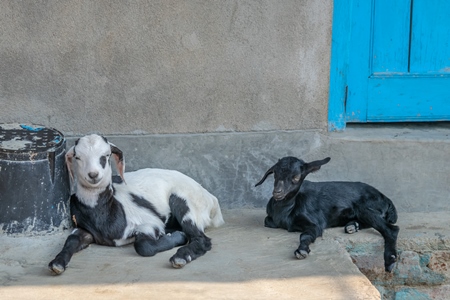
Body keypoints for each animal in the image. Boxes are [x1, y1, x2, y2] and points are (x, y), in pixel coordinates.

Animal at [48, 135, 224, 276]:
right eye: (77, 157)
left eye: (106, 155)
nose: (93, 175)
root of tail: (212, 200)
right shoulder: (83, 229)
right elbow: (71, 241)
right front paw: (57, 263)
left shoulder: (150, 223)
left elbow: (143, 246)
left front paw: (178, 237)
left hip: (185, 203)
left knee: (201, 239)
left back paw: (180, 257)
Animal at [255, 157, 400, 272]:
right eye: (275, 173)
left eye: (296, 177)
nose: (277, 192)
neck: (284, 211)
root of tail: (386, 199)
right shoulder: (270, 219)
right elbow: (267, 220)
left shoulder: (315, 224)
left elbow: (305, 235)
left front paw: (302, 250)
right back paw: (353, 226)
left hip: (364, 207)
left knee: (391, 229)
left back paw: (390, 260)